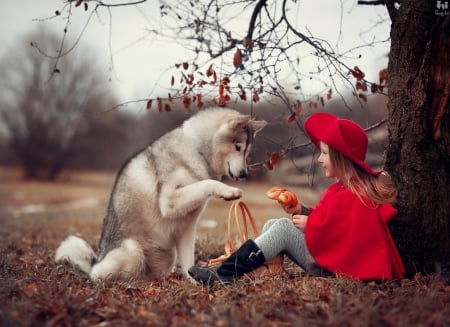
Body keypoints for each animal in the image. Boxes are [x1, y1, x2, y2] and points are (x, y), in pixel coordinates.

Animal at [56, 108, 268, 282]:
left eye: (246, 151)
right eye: (238, 147)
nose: (244, 174)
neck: (197, 150)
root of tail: (95, 262)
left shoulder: (187, 228)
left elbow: (188, 262)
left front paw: (194, 284)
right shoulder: (169, 201)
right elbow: (207, 183)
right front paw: (228, 191)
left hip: (167, 256)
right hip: (132, 250)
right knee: (105, 277)